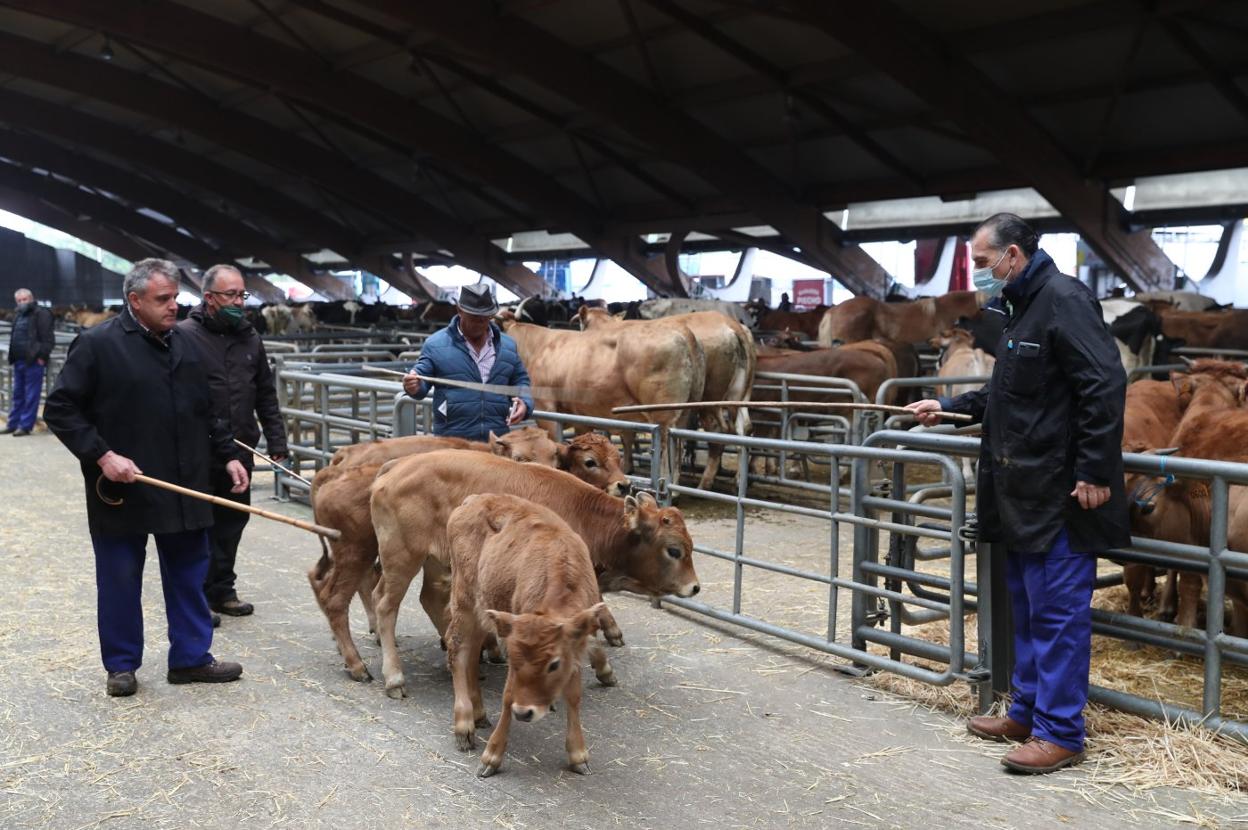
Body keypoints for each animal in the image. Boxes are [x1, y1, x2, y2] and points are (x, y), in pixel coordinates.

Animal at [446, 491, 606, 778]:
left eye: (554, 664)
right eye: (514, 658)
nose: (524, 713)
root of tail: (473, 499)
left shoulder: (576, 646)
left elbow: (573, 695)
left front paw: (578, 755)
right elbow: (509, 694)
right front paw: (491, 758)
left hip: (482, 610)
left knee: (472, 653)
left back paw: (479, 714)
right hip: (463, 602)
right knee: (458, 652)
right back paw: (464, 726)